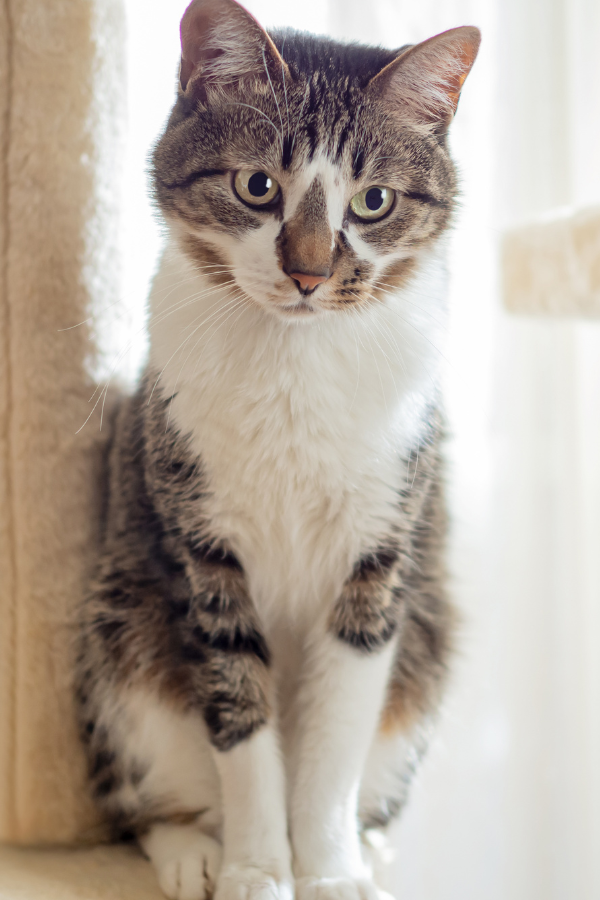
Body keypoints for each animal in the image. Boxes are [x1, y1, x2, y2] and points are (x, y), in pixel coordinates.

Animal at [74, 1, 478, 900]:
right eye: (258, 186)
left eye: (373, 201)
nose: (309, 274)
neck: (296, 360)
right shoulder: (201, 547)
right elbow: (240, 718)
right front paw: (259, 871)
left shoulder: (378, 553)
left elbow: (333, 743)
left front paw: (328, 872)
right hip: (121, 628)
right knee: (146, 791)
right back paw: (193, 850)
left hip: (429, 641)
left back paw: (368, 849)